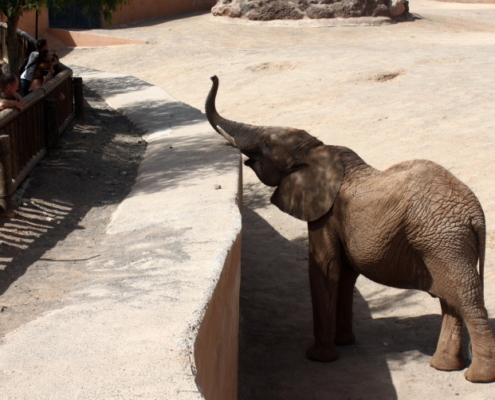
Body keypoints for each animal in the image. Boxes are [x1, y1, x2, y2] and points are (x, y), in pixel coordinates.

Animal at [204, 76, 495, 384]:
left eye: (267, 144)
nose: (214, 77)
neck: (316, 150)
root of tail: (476, 214)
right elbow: (345, 274)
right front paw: (344, 342)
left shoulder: (327, 214)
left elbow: (325, 268)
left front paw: (319, 358)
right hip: (443, 240)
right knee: (451, 297)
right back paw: (444, 367)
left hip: (442, 239)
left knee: (464, 295)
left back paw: (477, 377)